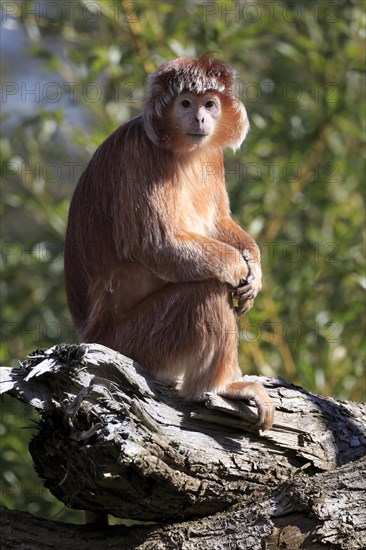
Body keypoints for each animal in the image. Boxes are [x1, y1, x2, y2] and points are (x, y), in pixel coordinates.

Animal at [63, 56, 274, 436]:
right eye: (185, 103)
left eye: (210, 104)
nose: (200, 119)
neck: (183, 151)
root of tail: (86, 336)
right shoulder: (138, 153)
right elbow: (156, 244)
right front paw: (238, 267)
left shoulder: (212, 156)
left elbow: (218, 222)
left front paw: (254, 267)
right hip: (133, 342)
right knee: (207, 290)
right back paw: (219, 387)